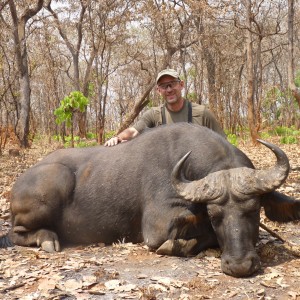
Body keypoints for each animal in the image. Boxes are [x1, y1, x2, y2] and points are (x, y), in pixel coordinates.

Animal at [0, 123, 300, 278]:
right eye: (215, 216)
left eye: (254, 211)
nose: (239, 266)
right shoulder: (156, 229)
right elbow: (188, 237)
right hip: (54, 183)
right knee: (15, 232)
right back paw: (47, 239)